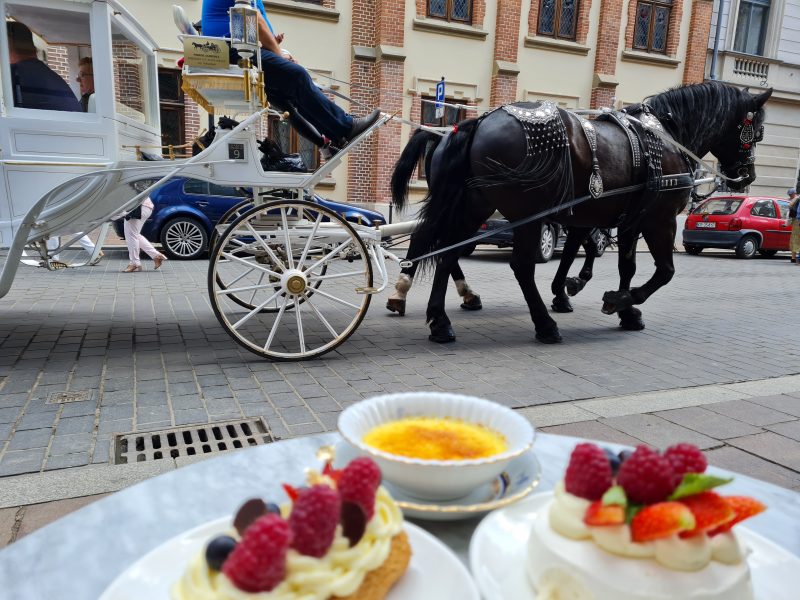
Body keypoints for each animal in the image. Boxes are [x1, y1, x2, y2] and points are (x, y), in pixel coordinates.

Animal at [390, 85, 772, 346]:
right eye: (756, 133)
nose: (747, 176)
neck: (666, 137)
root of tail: (478, 122)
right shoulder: (658, 221)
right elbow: (664, 271)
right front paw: (616, 300)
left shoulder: (629, 220)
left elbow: (625, 266)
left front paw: (623, 310)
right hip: (526, 215)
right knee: (518, 266)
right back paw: (544, 325)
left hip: (472, 208)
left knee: (446, 252)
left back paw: (440, 320)